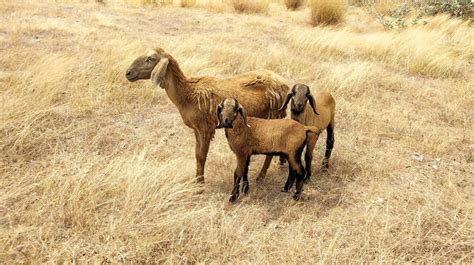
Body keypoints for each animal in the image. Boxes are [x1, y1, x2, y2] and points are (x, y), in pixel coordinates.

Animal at [125, 48, 288, 183]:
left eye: (150, 58)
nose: (128, 73)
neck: (187, 93)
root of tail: (285, 84)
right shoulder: (197, 129)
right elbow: (197, 155)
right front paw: (197, 180)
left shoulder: (205, 128)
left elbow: (202, 156)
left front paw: (200, 184)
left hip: (274, 115)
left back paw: (261, 177)